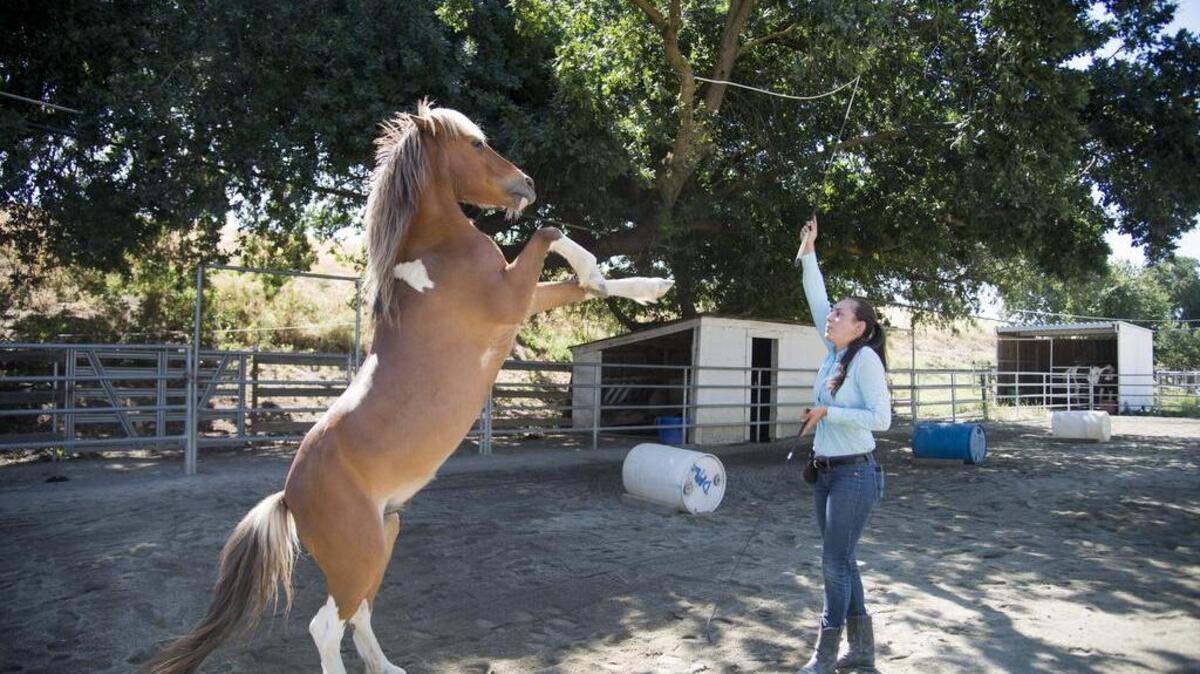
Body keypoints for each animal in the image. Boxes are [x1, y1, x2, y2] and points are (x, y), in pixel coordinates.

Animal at [141, 100, 673, 674]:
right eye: (477, 144)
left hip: (384, 538)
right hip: (358, 554)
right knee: (326, 625)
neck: (436, 251)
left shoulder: (521, 298)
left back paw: (389, 666)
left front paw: (651, 287)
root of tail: (289, 494)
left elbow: (577, 281)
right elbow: (549, 233)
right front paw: (599, 269)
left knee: (360, 613)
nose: (527, 184)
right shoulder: (510, 297)